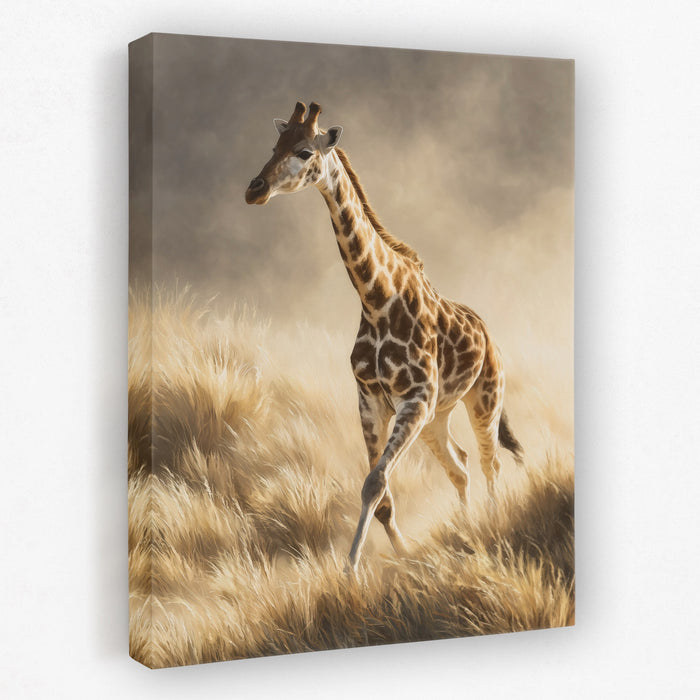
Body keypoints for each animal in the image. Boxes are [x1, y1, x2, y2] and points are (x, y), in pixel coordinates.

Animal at [245, 101, 523, 572]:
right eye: (273, 146)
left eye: (304, 152)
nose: (254, 189)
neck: (377, 299)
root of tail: (489, 335)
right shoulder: (372, 399)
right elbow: (383, 495)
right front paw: (402, 556)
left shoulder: (414, 400)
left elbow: (374, 484)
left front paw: (350, 571)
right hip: (437, 418)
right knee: (461, 465)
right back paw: (465, 528)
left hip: (483, 399)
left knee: (490, 464)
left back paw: (490, 525)